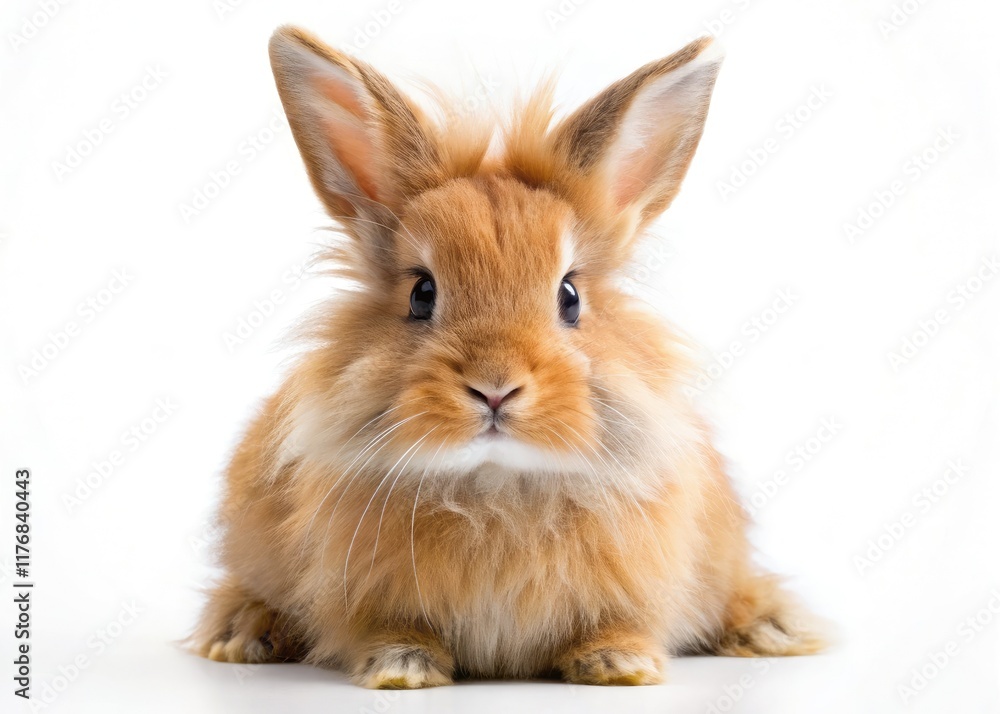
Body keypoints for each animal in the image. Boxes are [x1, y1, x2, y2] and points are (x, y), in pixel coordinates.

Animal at [191, 25, 825, 689]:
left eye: (570, 296)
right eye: (421, 293)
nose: (495, 387)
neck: (495, 485)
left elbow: (616, 623)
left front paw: (621, 665)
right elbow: (389, 629)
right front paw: (402, 668)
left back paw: (770, 628)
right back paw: (245, 634)